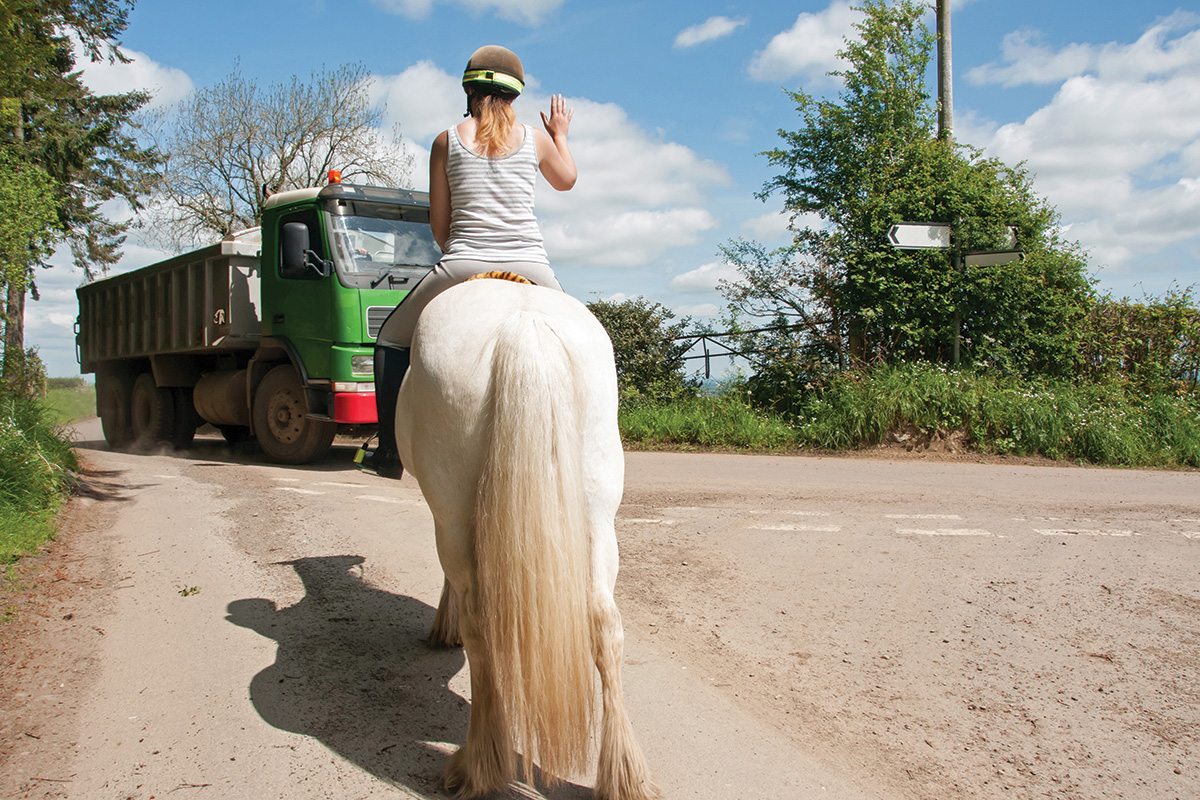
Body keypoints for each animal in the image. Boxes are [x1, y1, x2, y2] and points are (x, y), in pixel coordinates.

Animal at [393, 277, 657, 800]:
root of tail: (523, 321)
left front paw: (443, 626)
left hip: (452, 512)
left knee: (480, 624)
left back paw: (477, 764)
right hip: (599, 513)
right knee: (605, 624)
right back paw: (624, 776)